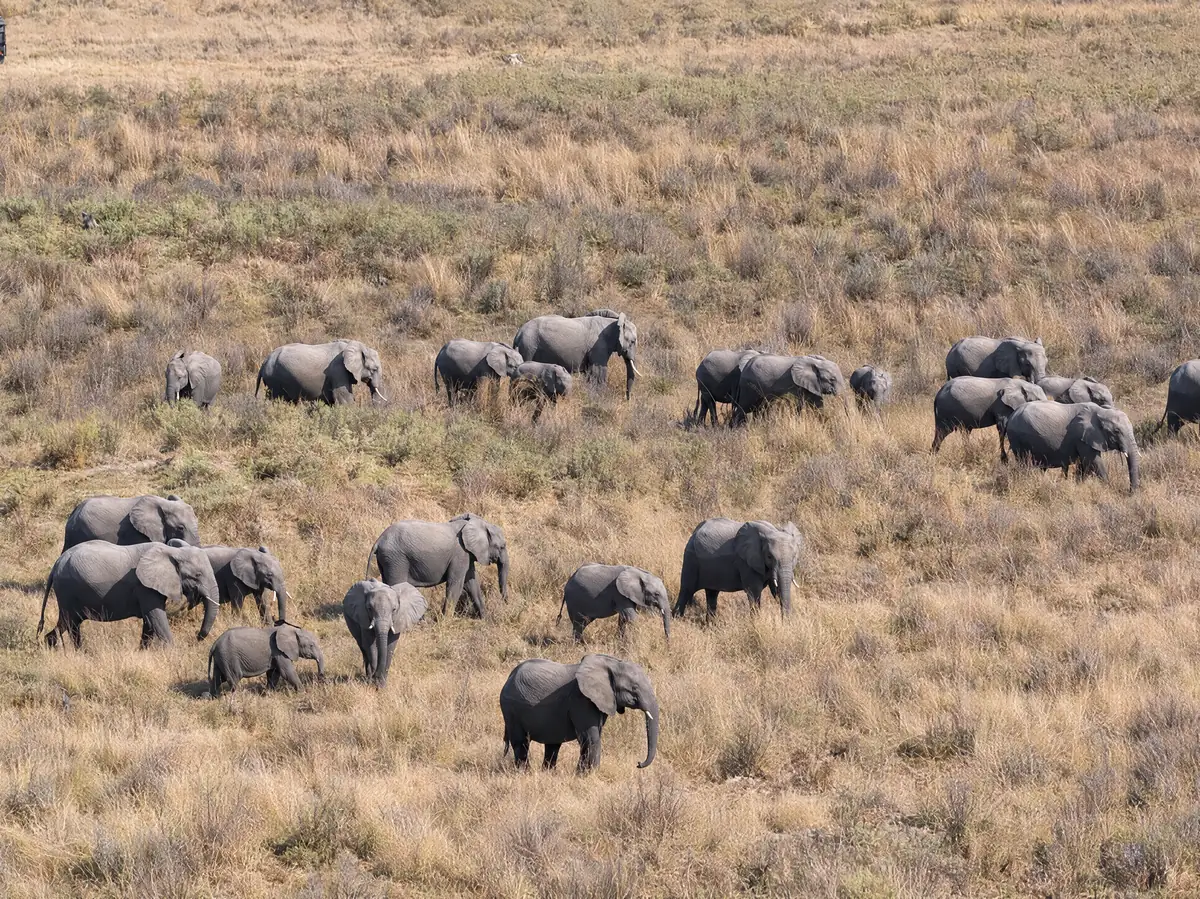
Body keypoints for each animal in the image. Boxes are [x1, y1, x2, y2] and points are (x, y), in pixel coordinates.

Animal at [38, 541, 220, 648]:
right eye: (197, 575)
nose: (197, 636)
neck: (172, 551)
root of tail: (56, 564)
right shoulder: (145, 587)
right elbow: (156, 617)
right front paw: (172, 652)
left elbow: (150, 622)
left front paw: (142, 652)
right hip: (67, 590)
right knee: (71, 624)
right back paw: (81, 653)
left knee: (65, 623)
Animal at [365, 514, 509, 617]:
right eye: (502, 546)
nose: (506, 603)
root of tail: (379, 540)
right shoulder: (460, 554)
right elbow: (456, 584)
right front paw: (446, 621)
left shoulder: (467, 555)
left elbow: (471, 583)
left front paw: (485, 619)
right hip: (396, 559)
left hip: (387, 560)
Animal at [500, 654, 659, 773]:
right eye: (634, 688)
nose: (638, 763)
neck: (610, 663)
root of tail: (509, 676)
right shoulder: (581, 700)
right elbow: (591, 737)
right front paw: (587, 775)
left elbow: (592, 736)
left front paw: (582, 774)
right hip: (510, 709)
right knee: (521, 742)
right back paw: (524, 772)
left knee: (552, 745)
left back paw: (549, 773)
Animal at [1006, 402, 1140, 492]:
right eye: (1117, 431)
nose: (1129, 492)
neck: (1100, 411)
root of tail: (1012, 414)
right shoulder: (1082, 436)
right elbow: (1093, 461)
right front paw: (1108, 488)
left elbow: (1084, 465)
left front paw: (1079, 485)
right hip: (1017, 438)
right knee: (1024, 463)